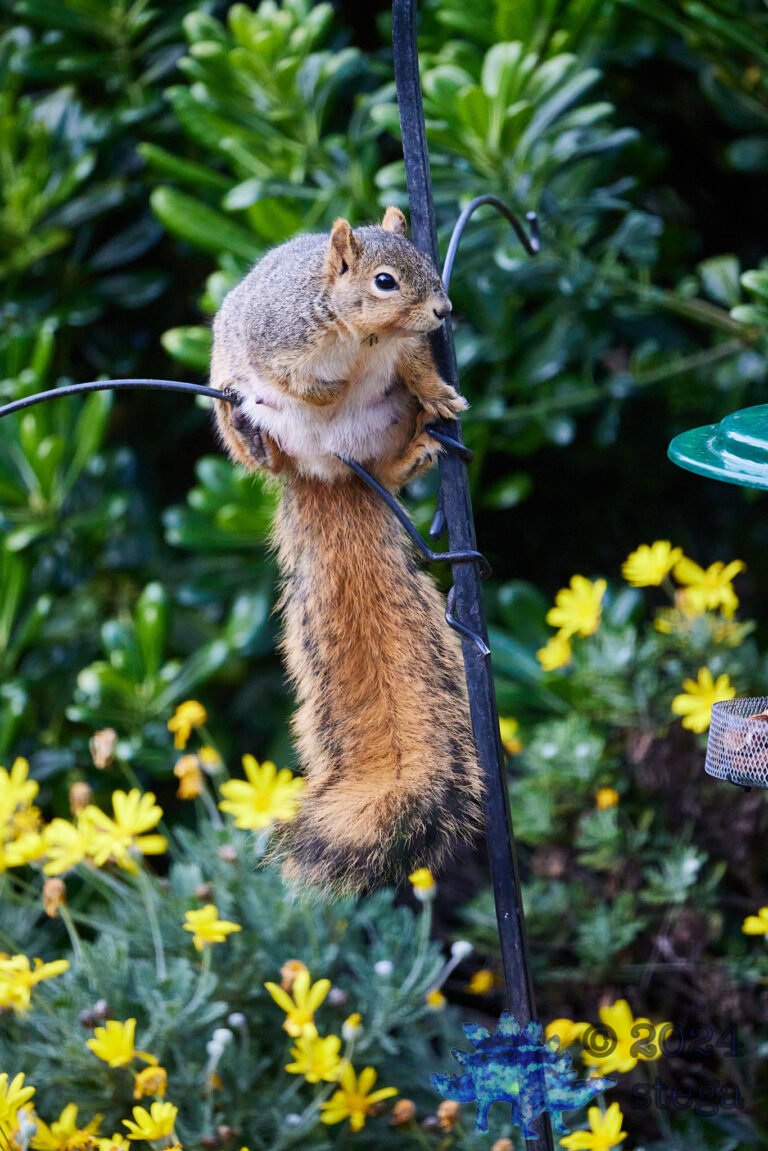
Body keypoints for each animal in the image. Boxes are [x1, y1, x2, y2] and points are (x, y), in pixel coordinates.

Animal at [210, 206, 483, 896]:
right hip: (235, 410)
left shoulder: (406, 350)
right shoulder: (277, 337)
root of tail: (329, 471)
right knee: (256, 438)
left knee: (388, 469)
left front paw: (439, 393)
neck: (361, 338)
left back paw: (417, 451)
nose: (442, 310)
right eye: (384, 280)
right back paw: (261, 439)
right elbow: (296, 383)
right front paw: (325, 394)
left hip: (386, 435)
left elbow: (416, 367)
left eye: (424, 260)